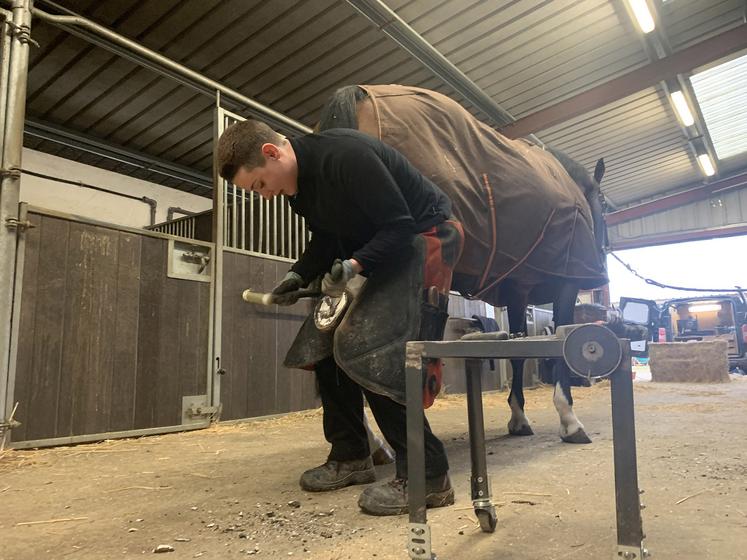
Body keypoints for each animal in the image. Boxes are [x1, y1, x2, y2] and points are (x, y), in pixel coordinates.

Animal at [318, 84, 612, 442]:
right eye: (603, 206)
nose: (604, 255)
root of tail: (357, 95)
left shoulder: (518, 290)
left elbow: (518, 350)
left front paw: (518, 418)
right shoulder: (567, 281)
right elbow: (559, 344)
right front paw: (569, 420)